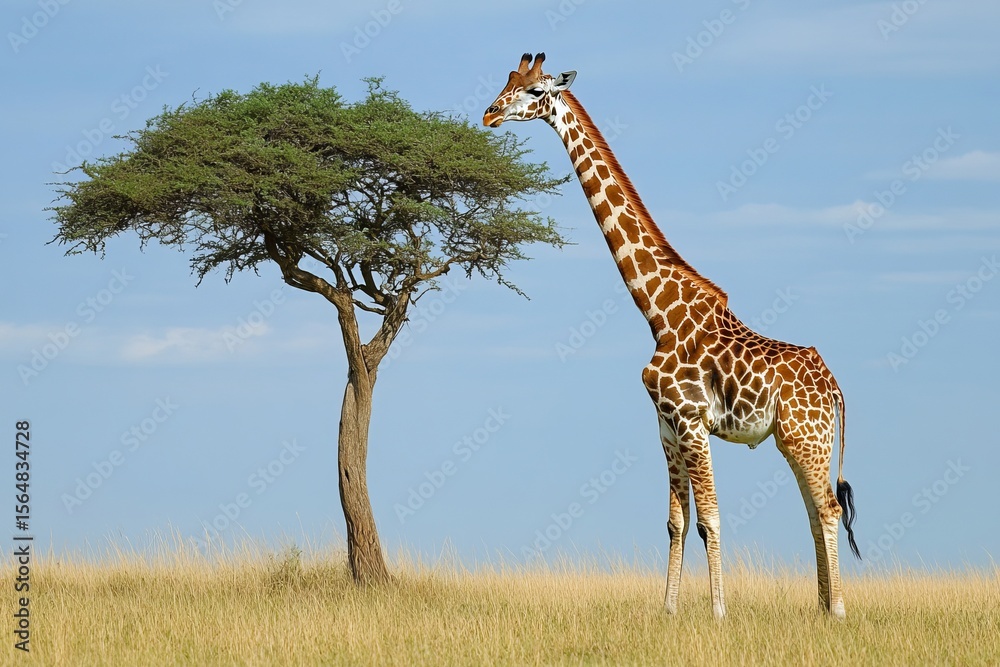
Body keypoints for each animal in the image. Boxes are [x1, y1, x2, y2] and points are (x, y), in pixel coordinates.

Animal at [484, 53, 860, 619]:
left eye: (534, 92)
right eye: (507, 82)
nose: (488, 114)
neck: (657, 311)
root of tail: (835, 387)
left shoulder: (691, 420)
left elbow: (710, 520)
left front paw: (719, 614)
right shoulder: (664, 425)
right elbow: (675, 522)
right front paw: (668, 611)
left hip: (806, 437)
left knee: (829, 508)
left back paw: (836, 610)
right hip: (793, 441)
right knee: (814, 511)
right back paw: (819, 608)